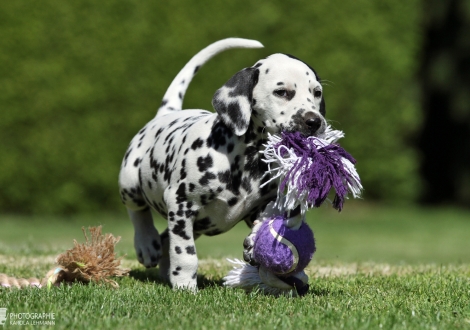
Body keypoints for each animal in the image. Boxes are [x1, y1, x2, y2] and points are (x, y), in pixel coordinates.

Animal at [118, 38, 326, 290]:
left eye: (317, 92)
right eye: (282, 92)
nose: (315, 121)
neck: (248, 158)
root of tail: (164, 115)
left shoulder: (262, 204)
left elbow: (273, 218)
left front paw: (254, 242)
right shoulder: (180, 203)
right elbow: (185, 253)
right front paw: (185, 286)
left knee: (166, 239)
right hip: (130, 182)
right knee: (138, 211)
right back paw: (146, 243)